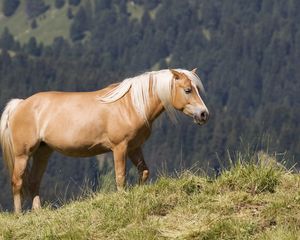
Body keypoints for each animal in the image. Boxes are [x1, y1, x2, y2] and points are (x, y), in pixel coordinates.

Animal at [0, 68, 209, 213]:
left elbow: (144, 172)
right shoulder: (120, 148)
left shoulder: (134, 148)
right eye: (188, 90)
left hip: (43, 151)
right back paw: (19, 215)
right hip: (23, 154)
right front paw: (123, 200)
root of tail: (20, 104)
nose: (203, 114)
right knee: (17, 182)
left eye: (197, 89)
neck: (132, 104)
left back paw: (39, 213)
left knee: (34, 181)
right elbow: (120, 177)